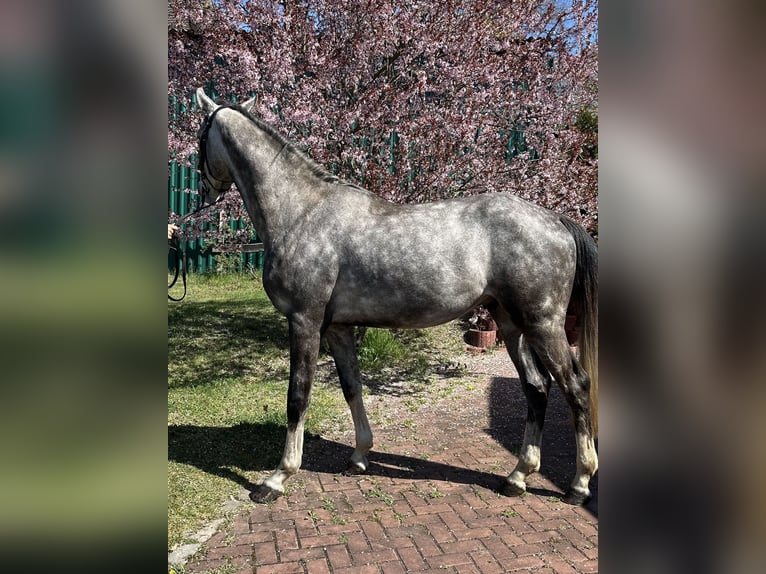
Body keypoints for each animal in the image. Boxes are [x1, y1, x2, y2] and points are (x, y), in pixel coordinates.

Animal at [193, 87, 598, 505]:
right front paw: (358, 456)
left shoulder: (304, 321)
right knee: (536, 387)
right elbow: (351, 387)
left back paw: (579, 484)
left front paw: (277, 478)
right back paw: (517, 477)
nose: (205, 190)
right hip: (510, 322)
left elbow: (298, 396)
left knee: (575, 386)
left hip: (543, 323)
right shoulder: (337, 327)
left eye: (199, 138)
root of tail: (555, 220)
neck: (302, 211)